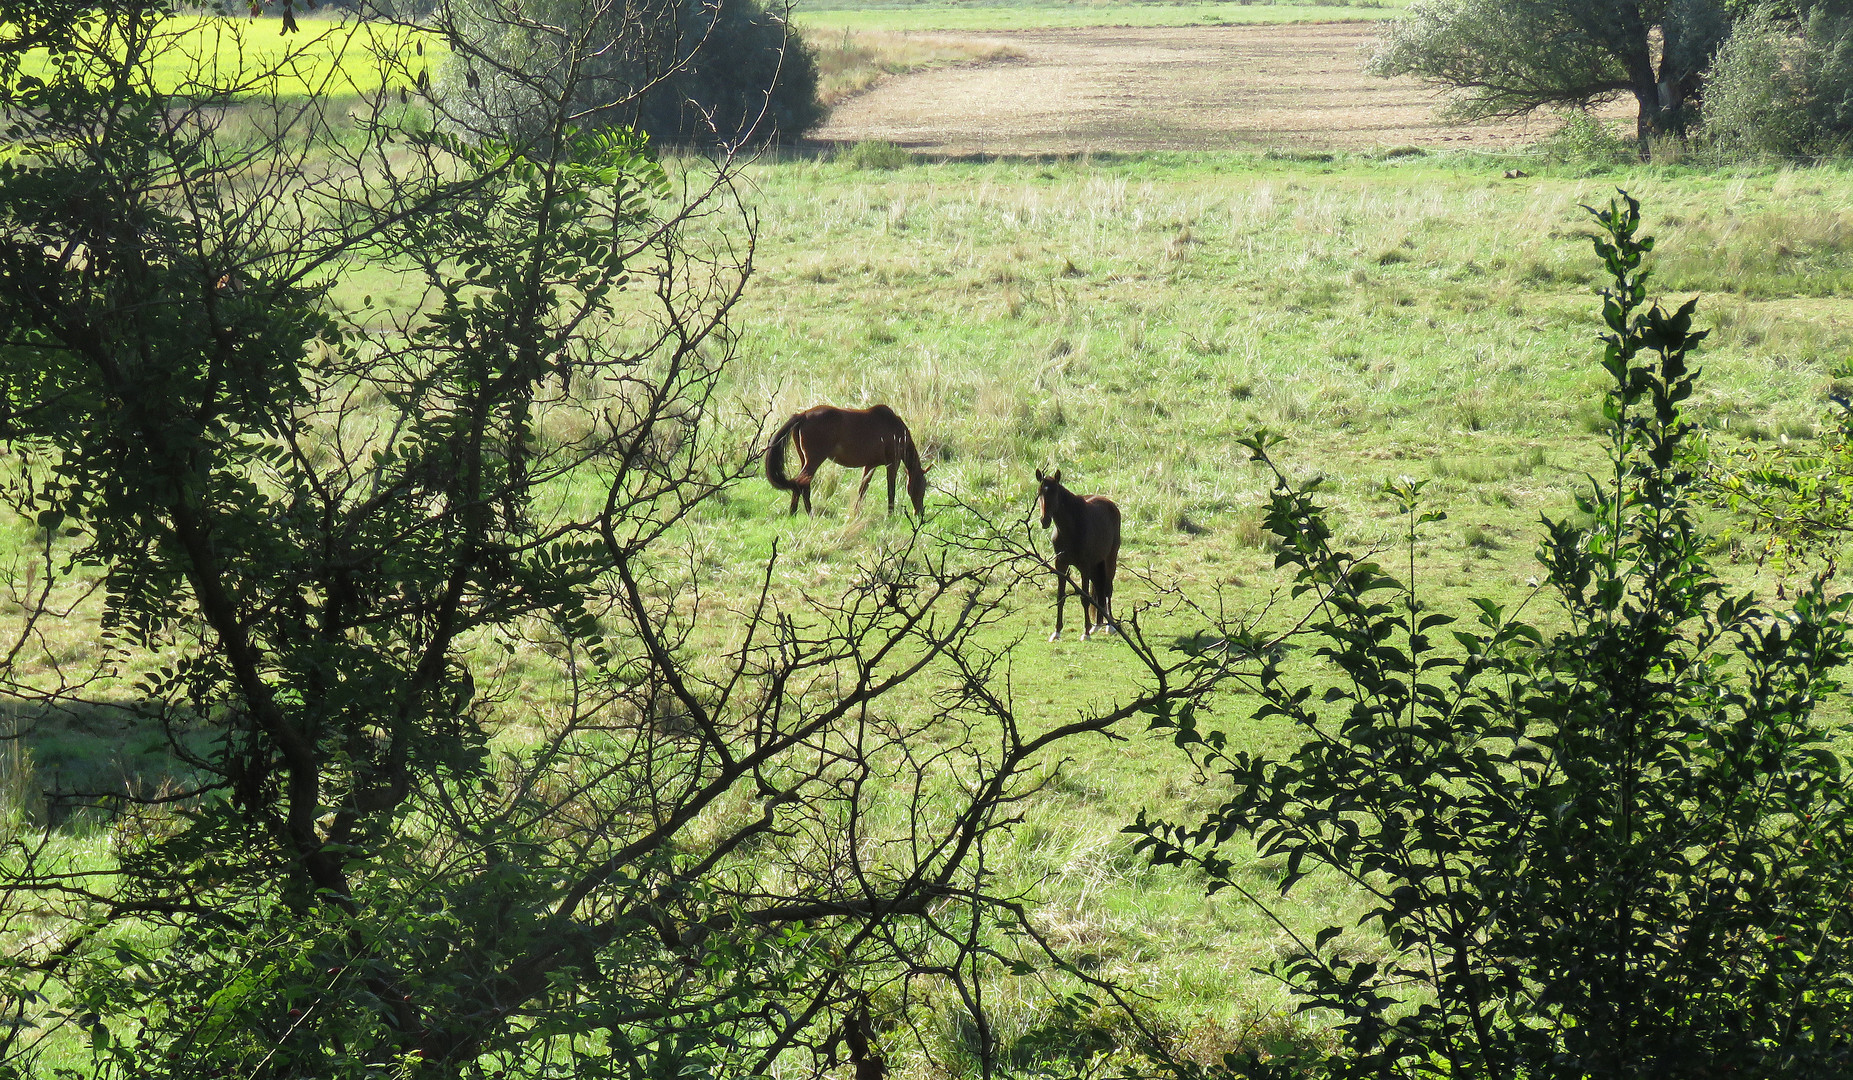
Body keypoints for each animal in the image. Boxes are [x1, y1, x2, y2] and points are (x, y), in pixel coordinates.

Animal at [759, 407, 926, 522]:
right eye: (921, 488)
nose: (919, 512)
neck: (897, 431)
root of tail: (804, 415)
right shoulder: (892, 463)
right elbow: (891, 490)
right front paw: (890, 514)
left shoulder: (870, 465)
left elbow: (862, 489)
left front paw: (856, 512)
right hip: (814, 460)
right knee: (802, 484)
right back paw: (809, 513)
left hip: (804, 460)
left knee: (799, 484)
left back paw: (793, 513)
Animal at [1037, 466, 1119, 640]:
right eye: (1039, 492)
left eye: (1054, 492)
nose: (1044, 520)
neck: (1071, 527)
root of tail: (1111, 505)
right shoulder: (1061, 565)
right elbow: (1060, 597)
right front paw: (1057, 632)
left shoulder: (1084, 567)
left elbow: (1084, 598)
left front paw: (1086, 633)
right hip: (1096, 564)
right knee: (1099, 590)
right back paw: (1097, 625)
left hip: (1109, 559)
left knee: (1107, 590)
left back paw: (1110, 626)